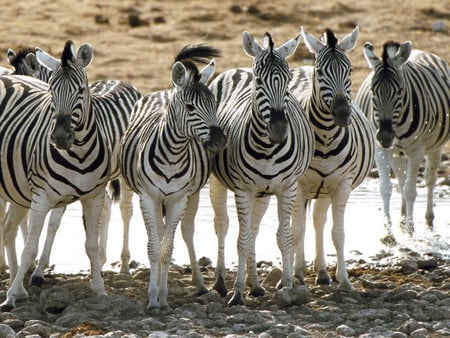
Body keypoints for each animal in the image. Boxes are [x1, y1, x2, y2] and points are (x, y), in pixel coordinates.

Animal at [0, 40, 137, 312]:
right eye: (51, 91)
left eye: (81, 91)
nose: (61, 137)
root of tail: (120, 80)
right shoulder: (41, 193)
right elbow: (30, 244)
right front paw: (17, 288)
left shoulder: (86, 194)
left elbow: (79, 238)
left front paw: (98, 289)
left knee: (124, 211)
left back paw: (123, 263)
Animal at [119, 45, 227, 312]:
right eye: (190, 107)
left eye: (214, 103)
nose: (220, 141)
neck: (173, 155)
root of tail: (167, 90)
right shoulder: (148, 197)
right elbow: (153, 248)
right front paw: (152, 298)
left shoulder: (179, 199)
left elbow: (167, 250)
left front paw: (163, 298)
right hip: (154, 198)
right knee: (157, 233)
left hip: (191, 195)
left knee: (186, 232)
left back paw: (199, 284)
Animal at [199, 31, 314, 306]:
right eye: (260, 81)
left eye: (289, 80)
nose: (279, 130)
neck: (268, 149)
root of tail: (239, 69)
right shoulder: (243, 190)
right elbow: (241, 241)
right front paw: (238, 294)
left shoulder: (287, 188)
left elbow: (283, 237)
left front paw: (288, 288)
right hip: (219, 183)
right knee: (223, 226)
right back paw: (221, 283)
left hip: (262, 194)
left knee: (253, 229)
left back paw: (256, 285)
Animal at [288, 27, 376, 290]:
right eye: (321, 72)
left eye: (350, 70)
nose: (342, 114)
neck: (326, 136)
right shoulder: (298, 186)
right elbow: (296, 231)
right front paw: (293, 276)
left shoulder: (342, 184)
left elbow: (338, 233)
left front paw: (344, 280)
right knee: (301, 222)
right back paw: (301, 269)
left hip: (324, 188)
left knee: (318, 220)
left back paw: (321, 272)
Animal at [356, 39, 450, 242]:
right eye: (373, 90)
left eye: (400, 90)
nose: (384, 136)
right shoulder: (380, 150)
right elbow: (386, 188)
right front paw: (388, 233)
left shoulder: (417, 151)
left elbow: (411, 191)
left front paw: (410, 231)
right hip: (397, 152)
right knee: (401, 179)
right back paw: (403, 215)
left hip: (435, 147)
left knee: (429, 179)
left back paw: (428, 219)